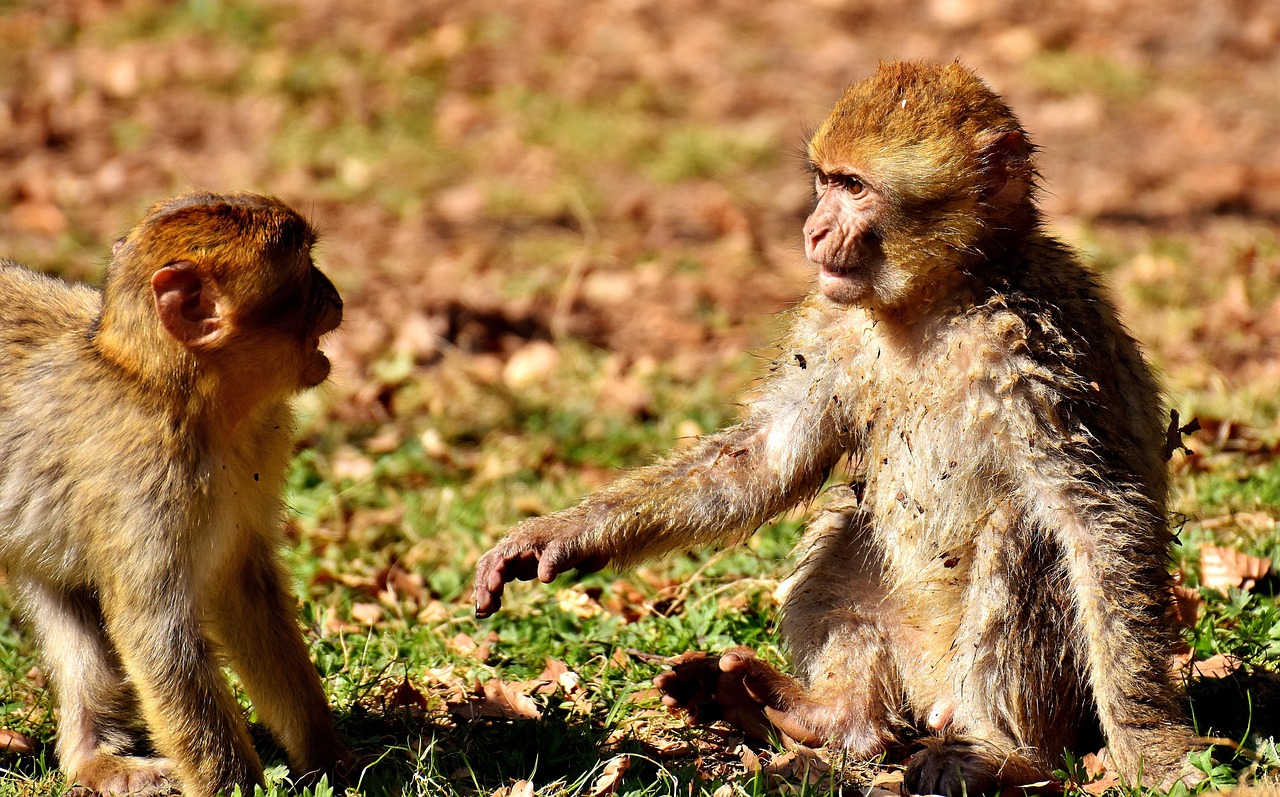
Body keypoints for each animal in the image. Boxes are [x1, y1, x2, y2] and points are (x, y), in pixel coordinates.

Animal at [0, 191, 350, 797]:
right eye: (305, 269)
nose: (335, 295)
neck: (177, 397)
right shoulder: (142, 483)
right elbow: (156, 635)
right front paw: (237, 788)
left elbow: (243, 589)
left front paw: (328, 757)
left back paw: (95, 761)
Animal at [473, 63, 1198, 797]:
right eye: (825, 181)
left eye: (854, 188)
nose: (813, 229)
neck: (938, 302)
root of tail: (932, 694)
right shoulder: (832, 326)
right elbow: (762, 461)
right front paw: (554, 536)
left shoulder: (1039, 347)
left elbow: (1097, 518)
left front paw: (1150, 745)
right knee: (849, 523)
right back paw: (829, 716)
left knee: (1018, 531)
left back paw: (1000, 753)